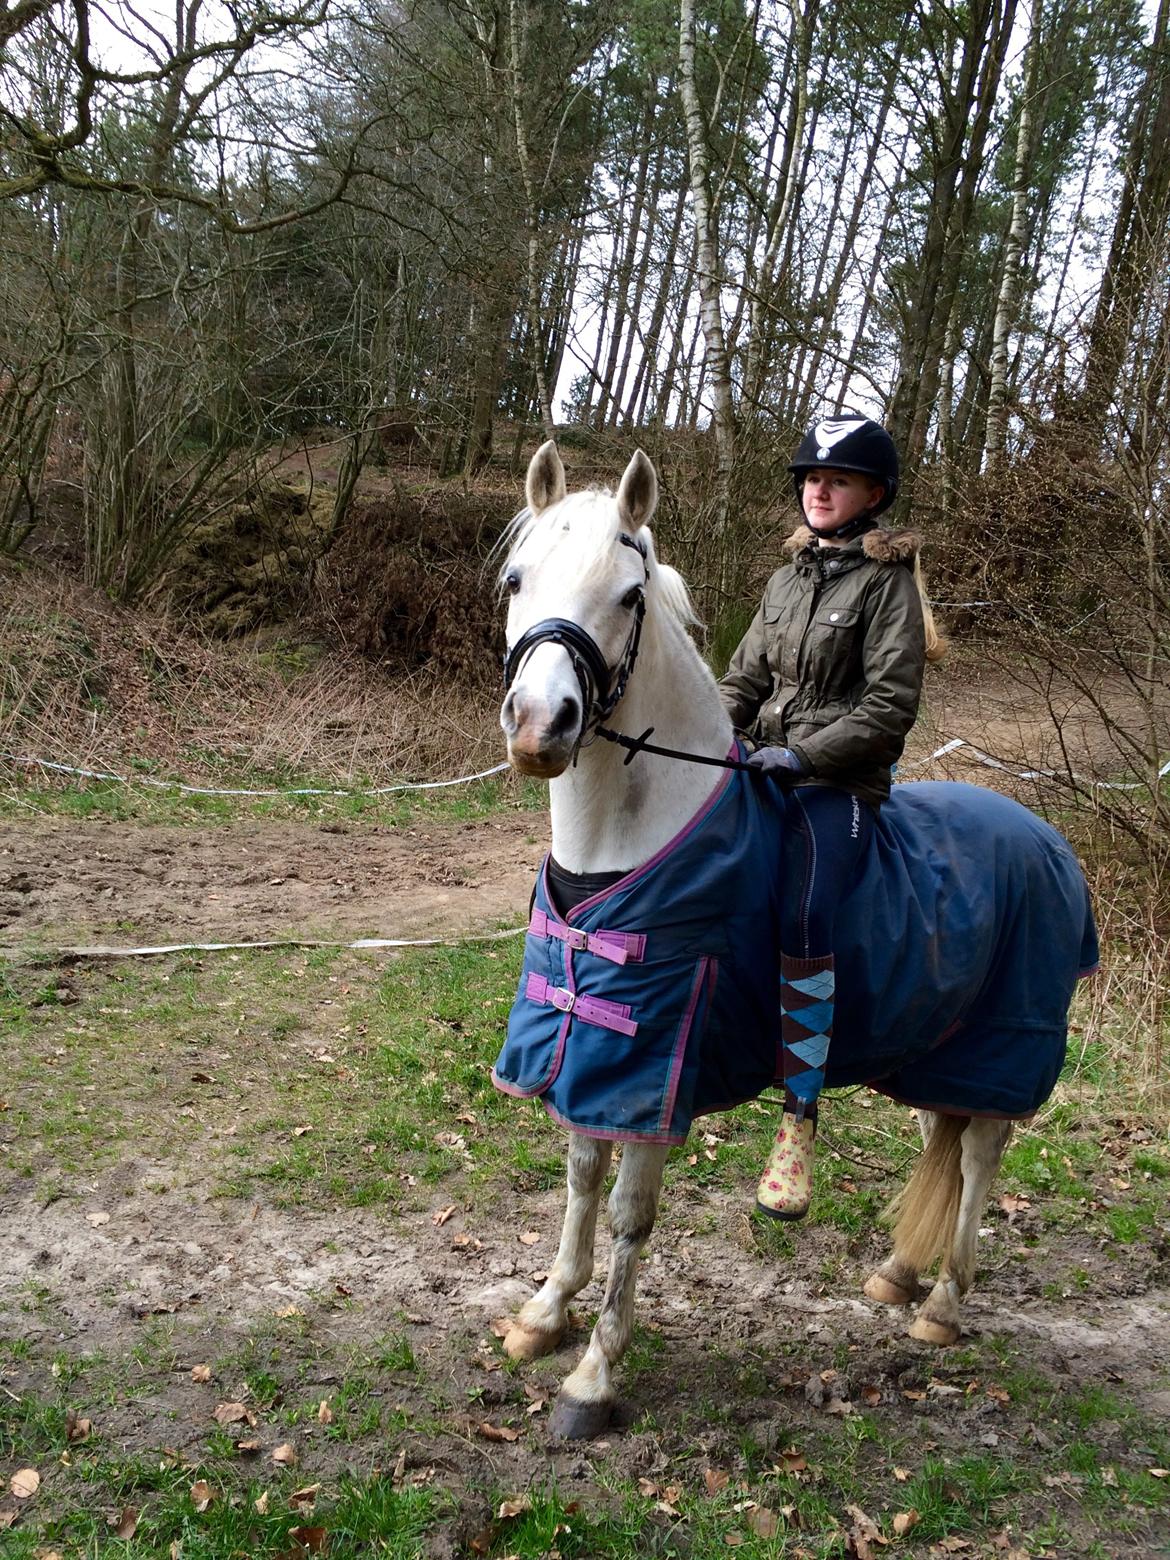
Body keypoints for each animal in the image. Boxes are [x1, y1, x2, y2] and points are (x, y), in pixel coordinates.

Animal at [491, 441, 1099, 1441]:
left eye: (628, 595)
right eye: (516, 578)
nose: (542, 726)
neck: (633, 838)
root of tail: (1046, 840)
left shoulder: (654, 1067)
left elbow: (627, 1215)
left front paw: (593, 1376)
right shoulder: (592, 1052)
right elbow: (579, 1177)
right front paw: (545, 1312)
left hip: (1005, 1048)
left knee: (978, 1159)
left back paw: (944, 1305)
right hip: (938, 1045)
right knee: (943, 1128)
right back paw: (899, 1276)